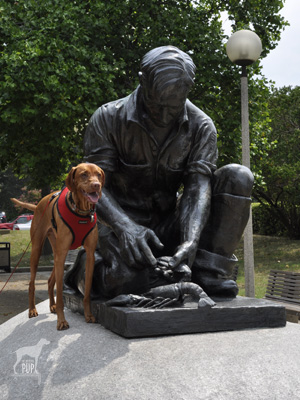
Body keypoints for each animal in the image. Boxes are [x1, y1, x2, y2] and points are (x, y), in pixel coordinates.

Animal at [11, 164, 105, 330]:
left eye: (98, 175)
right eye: (83, 174)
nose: (96, 185)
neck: (81, 212)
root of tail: (38, 204)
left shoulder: (89, 255)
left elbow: (87, 292)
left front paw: (88, 315)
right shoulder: (61, 255)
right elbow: (60, 295)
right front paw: (61, 321)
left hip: (57, 253)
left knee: (50, 281)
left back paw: (52, 306)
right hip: (37, 250)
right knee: (32, 283)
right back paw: (32, 310)